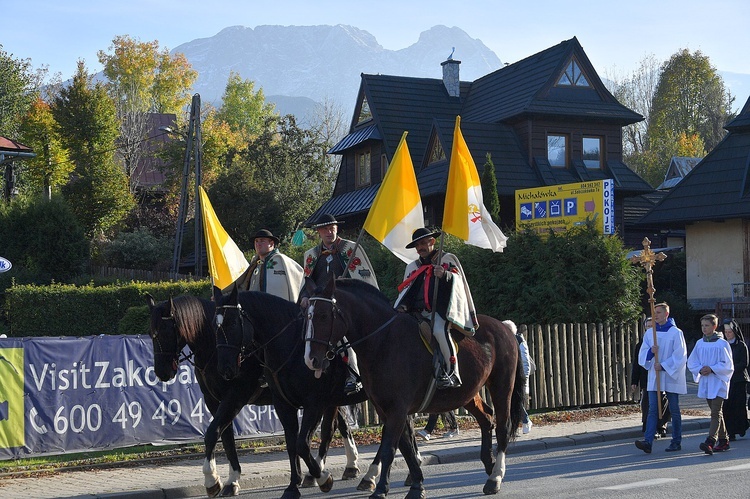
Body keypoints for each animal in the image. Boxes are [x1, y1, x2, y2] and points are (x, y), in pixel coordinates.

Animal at [148, 294, 358, 498]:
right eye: (151, 334)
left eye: (165, 332)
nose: (161, 372)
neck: (215, 349)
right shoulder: (214, 401)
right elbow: (226, 438)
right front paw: (231, 480)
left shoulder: (235, 397)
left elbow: (212, 433)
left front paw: (212, 480)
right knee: (339, 425)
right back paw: (346, 467)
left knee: (330, 428)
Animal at [214, 288, 420, 498]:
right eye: (216, 325)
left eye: (232, 323)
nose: (224, 369)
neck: (290, 347)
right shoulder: (283, 404)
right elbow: (292, 444)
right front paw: (293, 486)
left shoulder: (315, 404)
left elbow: (302, 443)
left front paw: (323, 478)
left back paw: (373, 476)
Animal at [302, 280, 524, 498]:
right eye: (307, 315)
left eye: (323, 315)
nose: (311, 359)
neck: (383, 341)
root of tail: (504, 327)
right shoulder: (386, 409)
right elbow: (405, 447)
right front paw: (416, 484)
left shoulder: (397, 409)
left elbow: (390, 448)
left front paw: (381, 489)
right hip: (467, 394)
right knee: (486, 418)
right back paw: (489, 465)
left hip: (502, 385)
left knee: (503, 426)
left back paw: (495, 477)